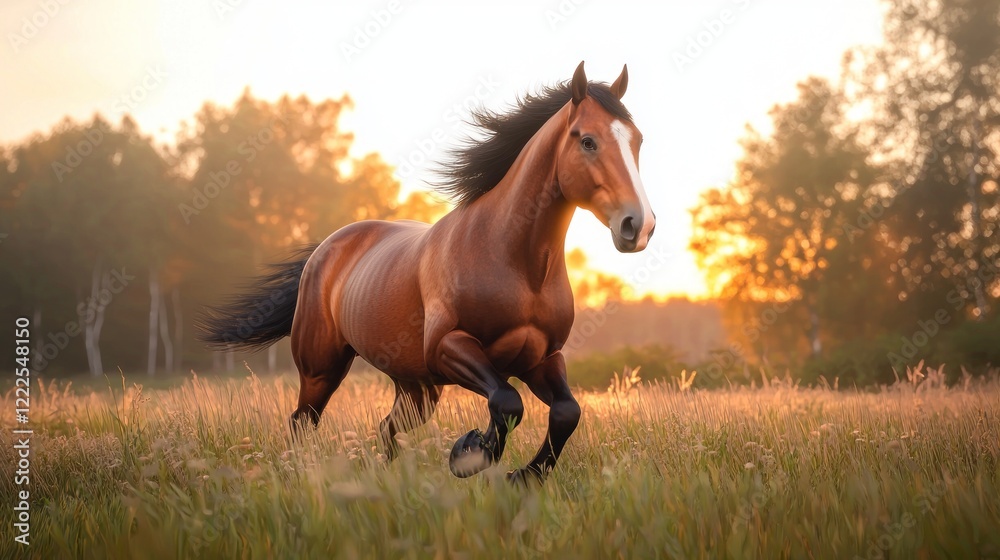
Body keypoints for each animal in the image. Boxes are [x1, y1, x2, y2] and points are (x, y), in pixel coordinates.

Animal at [198, 61, 655, 483]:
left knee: (386, 427)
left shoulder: (542, 358)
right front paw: (469, 453)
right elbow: (507, 403)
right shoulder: (448, 347)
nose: (639, 226)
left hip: (416, 387)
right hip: (321, 367)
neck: (518, 264)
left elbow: (563, 412)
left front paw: (521, 473)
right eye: (588, 141)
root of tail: (327, 248)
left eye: (637, 140)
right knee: (302, 422)